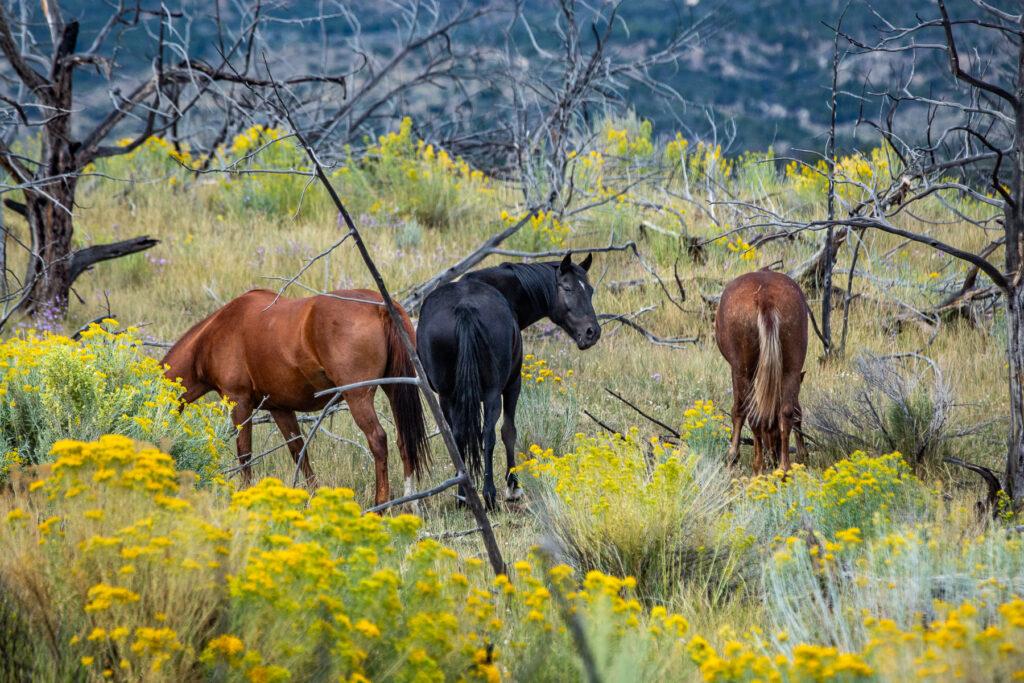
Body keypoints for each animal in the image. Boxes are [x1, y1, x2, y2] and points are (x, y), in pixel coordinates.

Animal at [158, 286, 428, 501]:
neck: (213, 336)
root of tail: (380, 305)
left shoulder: (239, 402)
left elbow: (245, 453)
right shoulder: (281, 409)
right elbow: (299, 452)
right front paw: (315, 495)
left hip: (358, 397)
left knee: (378, 440)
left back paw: (381, 505)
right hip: (395, 388)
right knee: (404, 441)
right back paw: (410, 503)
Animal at [415, 252, 598, 507]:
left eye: (590, 290)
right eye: (568, 288)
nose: (593, 332)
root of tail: (465, 309)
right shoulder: (513, 385)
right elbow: (508, 432)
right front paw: (513, 486)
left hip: (447, 395)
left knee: (458, 436)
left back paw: (463, 494)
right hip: (493, 393)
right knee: (489, 435)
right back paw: (489, 494)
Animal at [716, 270, 811, 473]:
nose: (772, 456)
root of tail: (765, 298)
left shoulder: (737, 372)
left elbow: (738, 411)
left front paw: (732, 456)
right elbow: (796, 411)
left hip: (743, 370)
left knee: (751, 415)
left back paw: (758, 466)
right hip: (791, 367)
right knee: (787, 412)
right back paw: (784, 468)